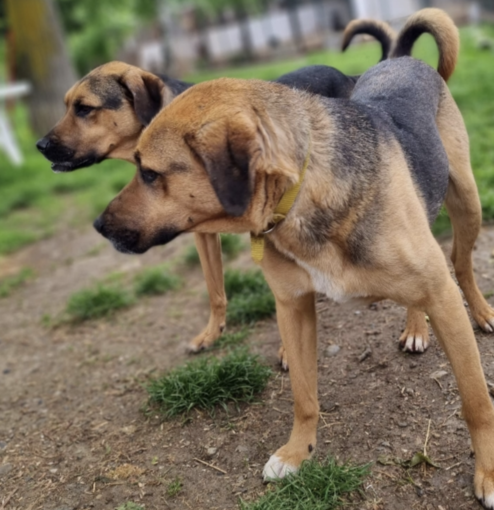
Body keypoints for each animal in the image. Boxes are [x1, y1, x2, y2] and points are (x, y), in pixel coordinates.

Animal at [94, 19, 494, 506]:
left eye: (150, 173)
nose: (99, 225)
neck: (301, 196)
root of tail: (400, 59)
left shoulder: (440, 294)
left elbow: (476, 401)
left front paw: (489, 473)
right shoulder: (293, 306)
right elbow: (304, 397)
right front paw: (296, 453)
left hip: (467, 204)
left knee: (462, 264)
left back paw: (479, 311)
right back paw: (416, 325)